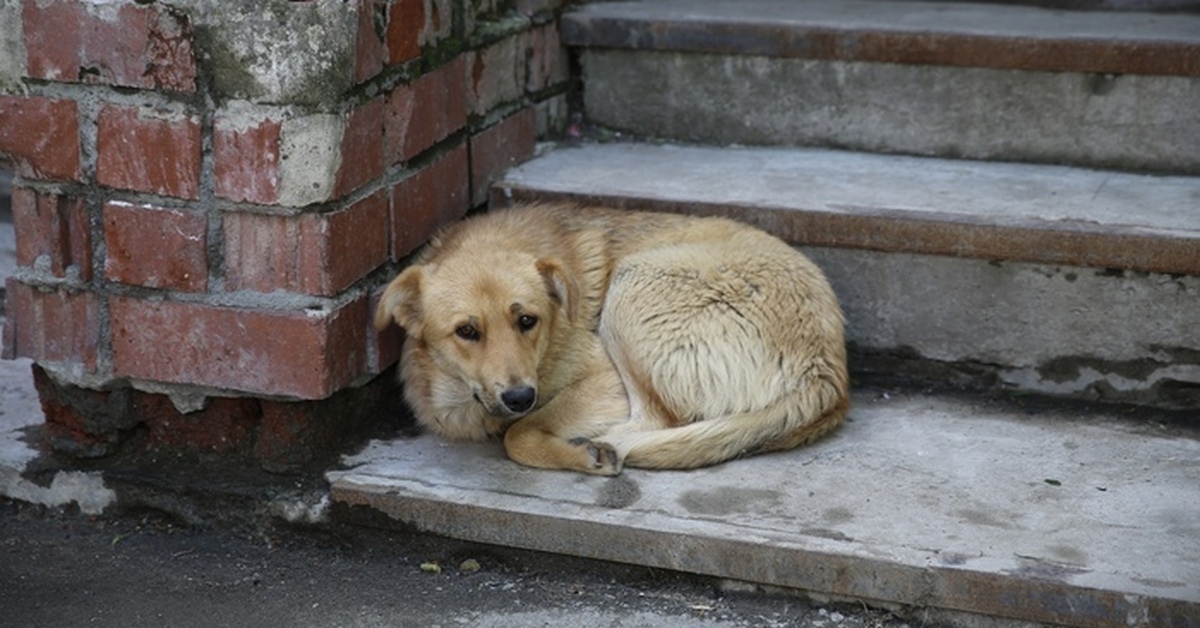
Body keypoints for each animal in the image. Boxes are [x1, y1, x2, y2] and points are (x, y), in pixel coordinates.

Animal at [369, 204, 849, 475]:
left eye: (527, 320)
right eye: (467, 331)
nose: (521, 397)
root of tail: (828, 374)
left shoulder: (604, 380)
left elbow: (519, 435)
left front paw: (571, 449)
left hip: (633, 284)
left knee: (658, 422)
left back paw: (600, 445)